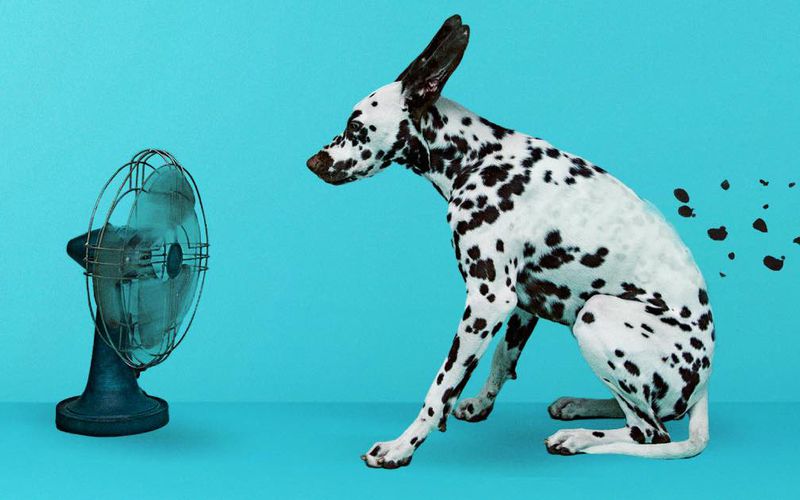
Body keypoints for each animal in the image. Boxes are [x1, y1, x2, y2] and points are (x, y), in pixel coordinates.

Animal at [304, 15, 712, 468]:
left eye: (355, 127)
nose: (313, 163)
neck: (480, 157)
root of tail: (704, 388)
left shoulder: (488, 300)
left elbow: (441, 385)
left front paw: (402, 445)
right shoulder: (523, 304)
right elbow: (502, 358)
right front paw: (479, 403)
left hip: (595, 314)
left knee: (649, 431)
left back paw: (576, 438)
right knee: (641, 413)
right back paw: (579, 405)